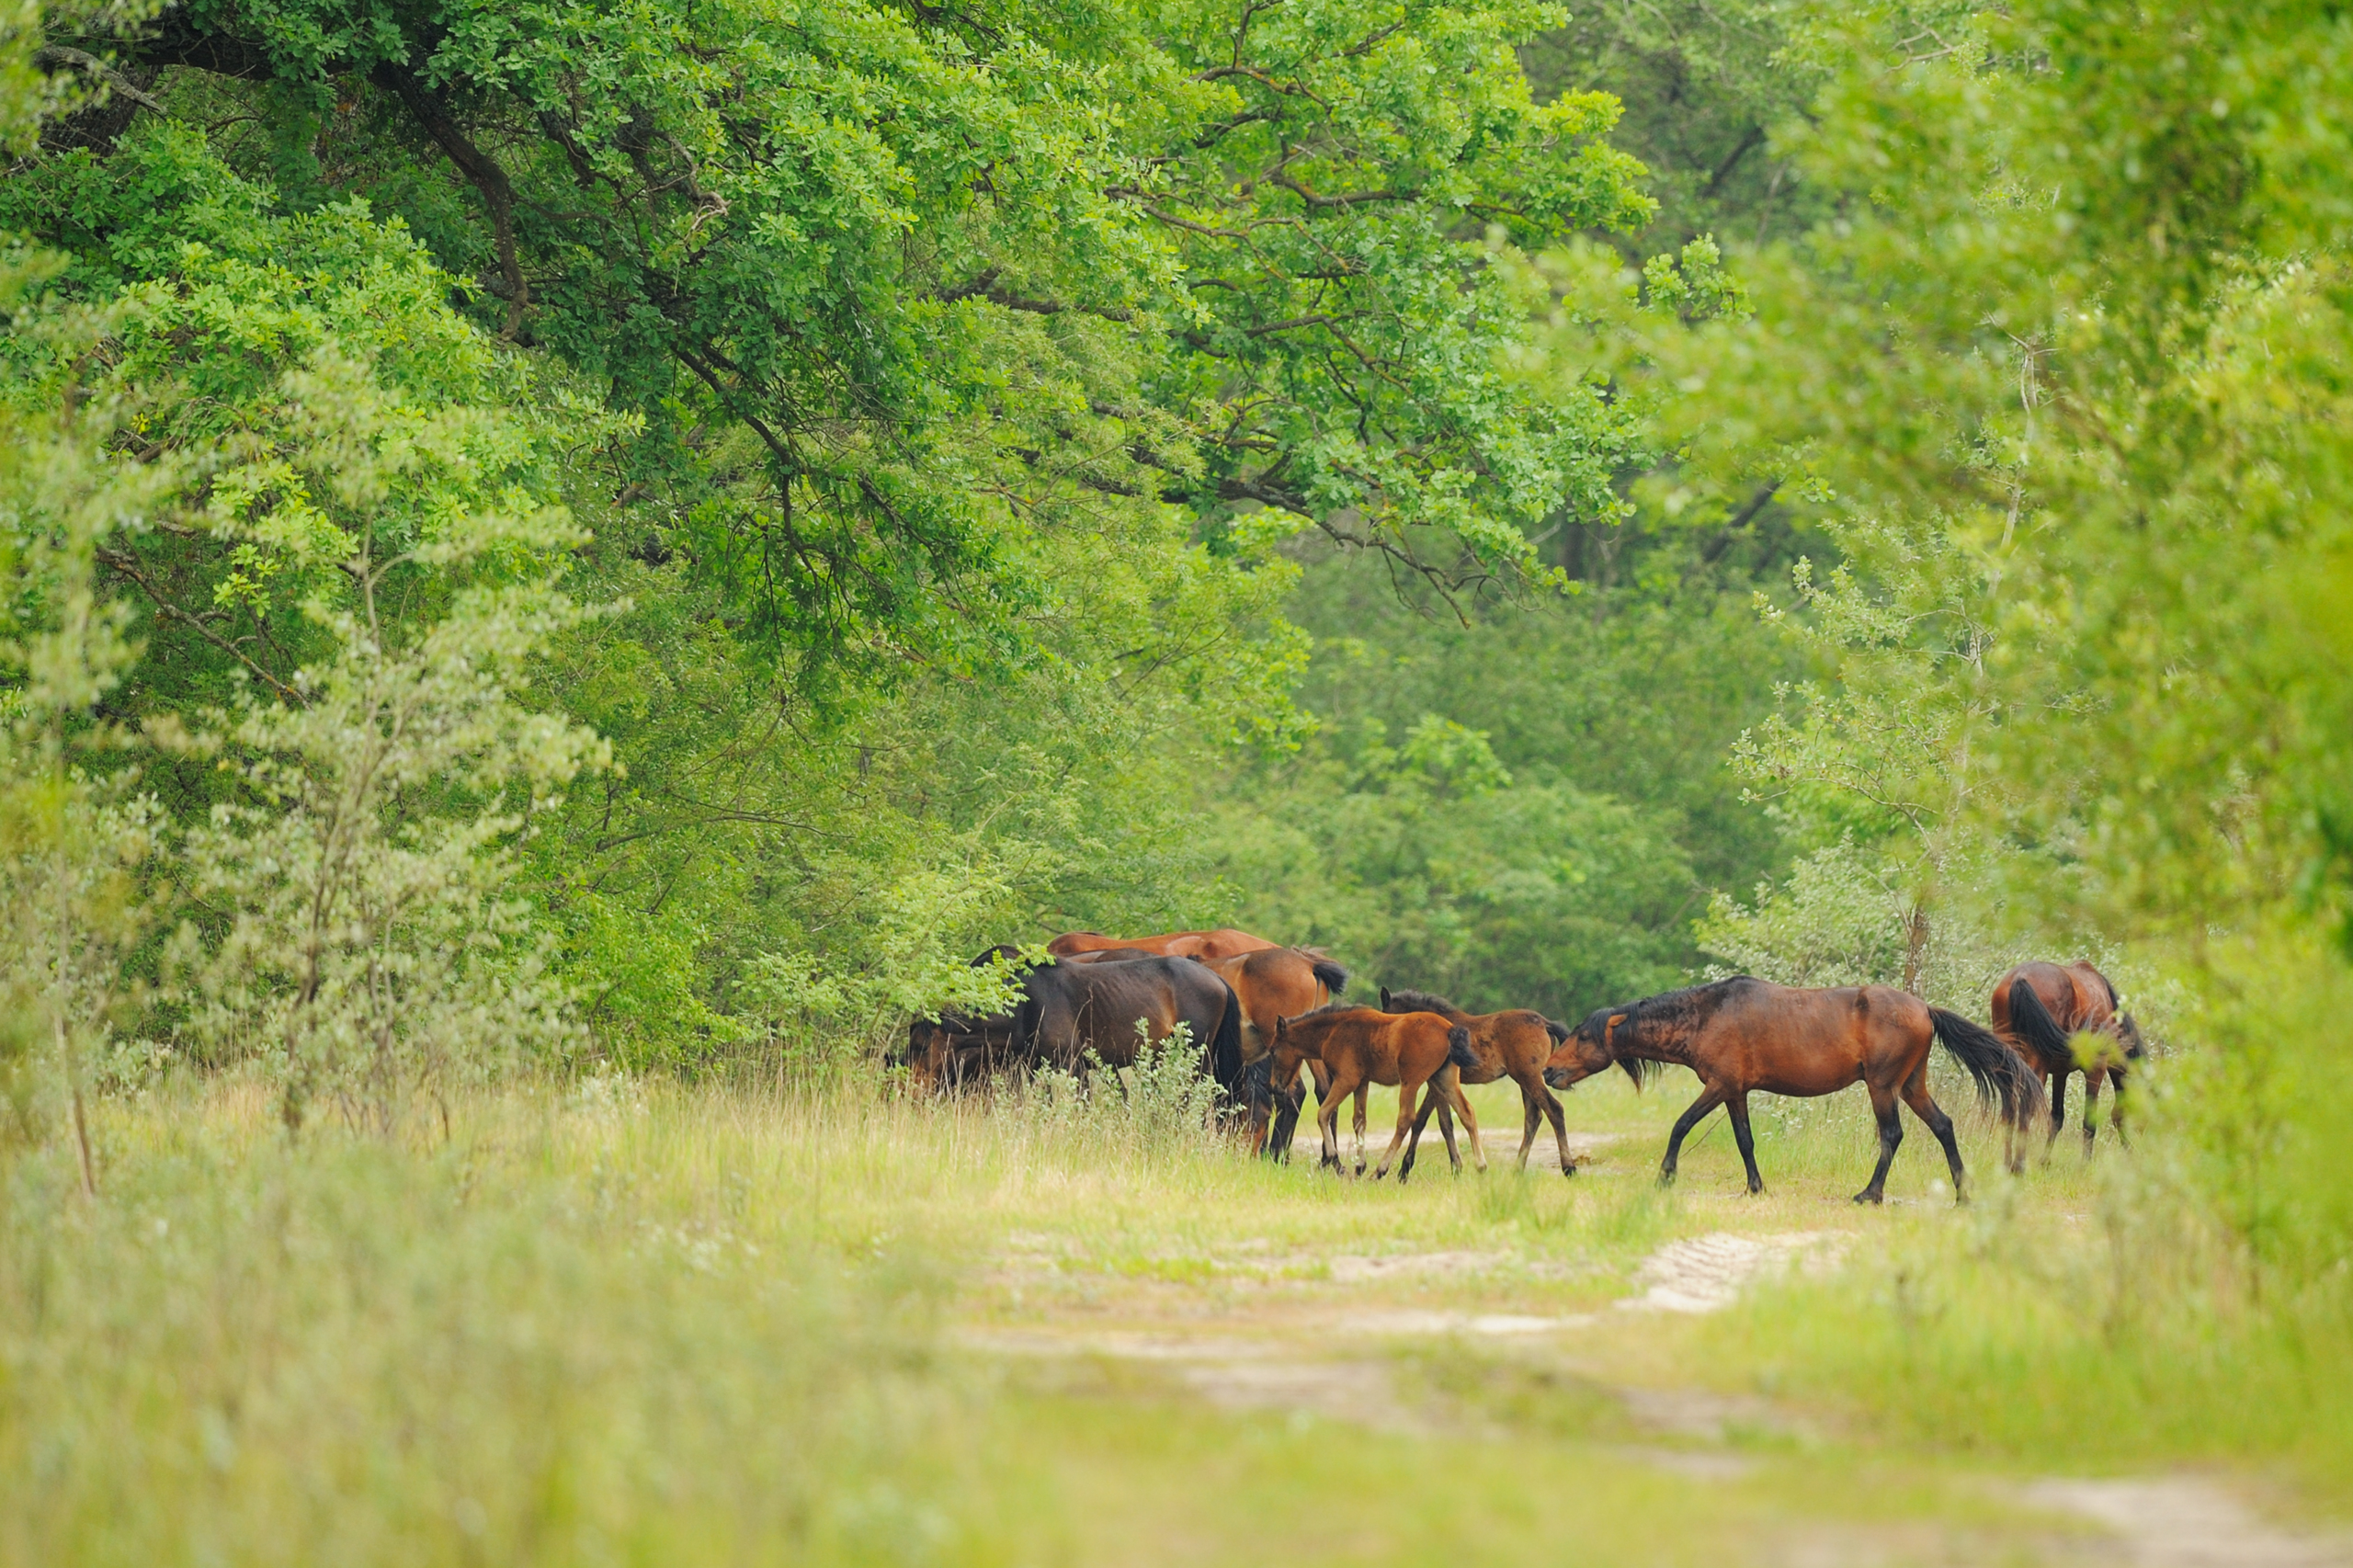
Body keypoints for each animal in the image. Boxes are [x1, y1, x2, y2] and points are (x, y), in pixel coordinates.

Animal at [1250, 1006, 1476, 1181]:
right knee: (1466, 1113)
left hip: (1411, 1082)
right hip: (1442, 1078)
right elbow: (1359, 1120)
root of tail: (1449, 1029)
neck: (1333, 1031)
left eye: (1273, 1050)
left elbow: (1323, 1113)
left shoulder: (1346, 1079)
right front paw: (1359, 1166)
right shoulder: (1362, 1082)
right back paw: (1477, 1166)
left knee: (1405, 1120)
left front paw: (1335, 1160)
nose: (1273, 1086)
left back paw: (1380, 1171)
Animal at [1379, 988, 1601, 1176]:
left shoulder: (1435, 1083)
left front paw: (1406, 1170)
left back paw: (1569, 1168)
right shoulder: (1440, 1083)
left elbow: (1436, 1122)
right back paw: (1517, 1170)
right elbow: (1429, 1121)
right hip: (1525, 1080)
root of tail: (1544, 1022)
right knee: (1533, 1117)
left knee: (1554, 1110)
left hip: (1528, 1076)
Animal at [1554, 977, 2047, 1204]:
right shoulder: (1735, 1092)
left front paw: (1665, 1176)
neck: (1708, 1016)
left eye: (1584, 1036)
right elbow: (1745, 1140)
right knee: (1943, 1126)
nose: (1550, 1070)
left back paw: (1870, 1194)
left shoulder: (1719, 1085)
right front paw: (1755, 1187)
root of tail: (1925, 1008)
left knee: (1892, 1135)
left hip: (1882, 1086)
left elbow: (1680, 1126)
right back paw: (1963, 1195)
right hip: (1911, 1085)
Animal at [1990, 961, 2144, 1157]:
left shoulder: (2059, 1074)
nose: (2134, 1153)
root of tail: (2019, 979)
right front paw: (2085, 1162)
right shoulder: (2096, 1070)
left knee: (2009, 1113)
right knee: (2025, 1114)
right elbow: (2089, 1124)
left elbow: (2057, 1118)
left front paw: (2045, 1161)